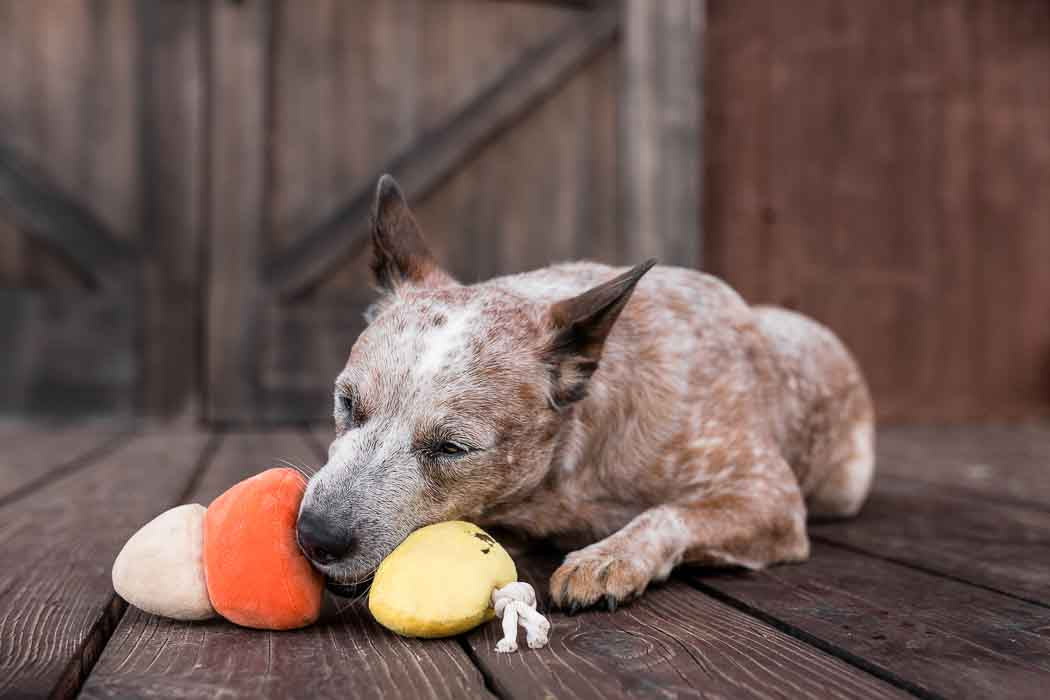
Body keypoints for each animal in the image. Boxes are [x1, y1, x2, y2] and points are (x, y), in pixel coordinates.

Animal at [294, 176, 869, 612]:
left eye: (452, 448)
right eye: (348, 404)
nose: (314, 535)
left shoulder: (770, 494)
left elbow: (669, 512)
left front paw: (607, 558)